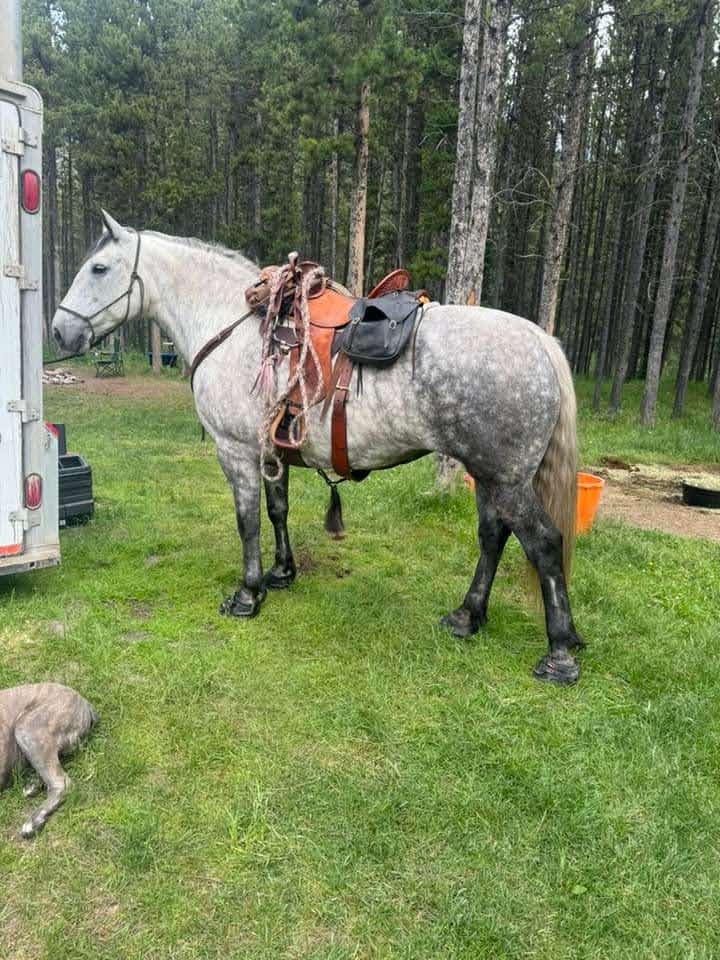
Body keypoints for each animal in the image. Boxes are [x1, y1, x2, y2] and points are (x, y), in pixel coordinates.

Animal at [51, 211, 583, 685]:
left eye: (99, 269)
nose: (59, 330)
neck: (230, 324)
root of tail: (538, 339)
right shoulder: (272, 452)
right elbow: (277, 511)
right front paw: (281, 573)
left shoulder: (236, 452)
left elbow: (247, 523)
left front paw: (247, 595)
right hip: (488, 475)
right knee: (493, 537)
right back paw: (467, 616)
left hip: (505, 479)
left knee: (543, 543)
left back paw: (559, 654)